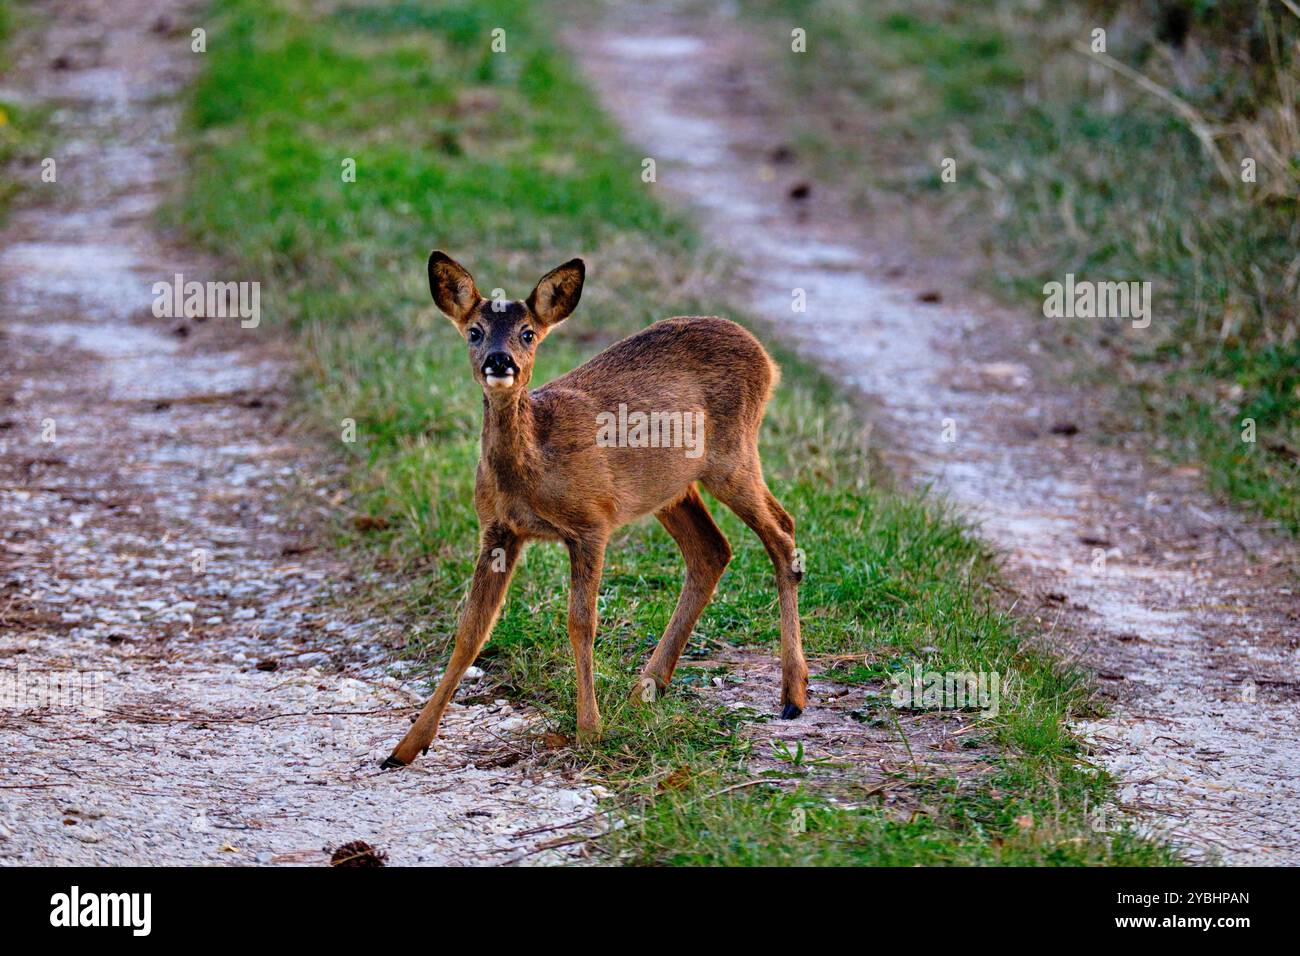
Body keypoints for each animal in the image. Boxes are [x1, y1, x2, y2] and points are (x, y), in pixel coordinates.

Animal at [381, 252, 806, 768]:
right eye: (474, 331)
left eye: (527, 332)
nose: (500, 361)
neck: (534, 463)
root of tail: (766, 359)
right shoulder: (498, 529)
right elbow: (472, 630)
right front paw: (405, 747)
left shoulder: (591, 521)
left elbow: (580, 623)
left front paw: (589, 730)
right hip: (670, 488)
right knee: (712, 550)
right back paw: (646, 689)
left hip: (732, 456)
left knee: (782, 532)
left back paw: (792, 696)